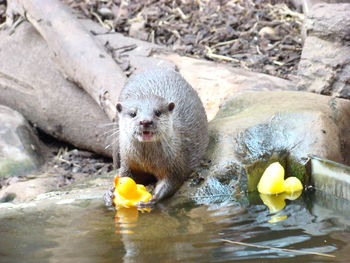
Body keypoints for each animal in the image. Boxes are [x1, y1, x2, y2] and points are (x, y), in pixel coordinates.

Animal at [104, 69, 208, 207]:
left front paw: (153, 198)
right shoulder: (128, 161)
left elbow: (172, 181)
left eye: (157, 112)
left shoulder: (176, 164)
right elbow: (124, 175)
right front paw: (109, 193)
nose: (145, 121)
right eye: (133, 113)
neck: (146, 160)